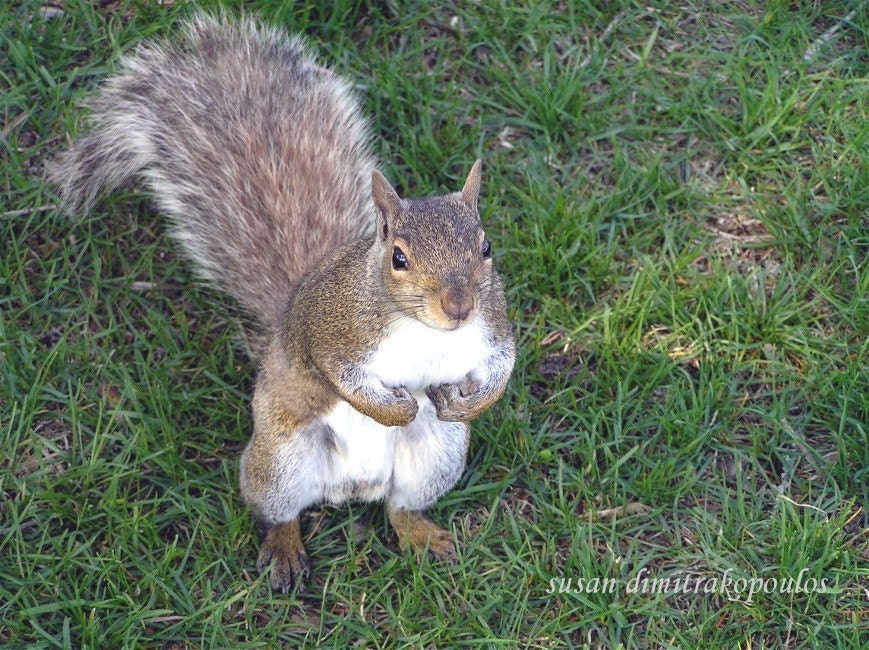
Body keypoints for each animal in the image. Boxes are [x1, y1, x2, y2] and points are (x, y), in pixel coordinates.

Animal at [49, 13, 515, 593]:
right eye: (398, 258)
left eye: (486, 247)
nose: (458, 307)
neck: (424, 329)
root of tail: (353, 487)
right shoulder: (334, 331)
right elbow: (342, 376)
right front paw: (393, 407)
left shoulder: (492, 326)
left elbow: (503, 364)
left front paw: (472, 402)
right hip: (280, 461)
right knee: (279, 511)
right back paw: (285, 550)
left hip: (437, 455)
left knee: (400, 507)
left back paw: (423, 535)